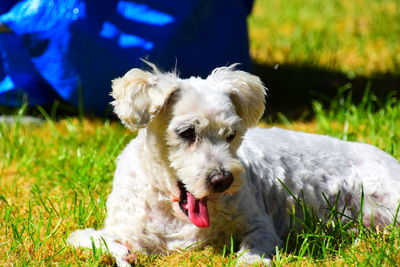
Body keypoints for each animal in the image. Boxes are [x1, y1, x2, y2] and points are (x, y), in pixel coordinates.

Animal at [67, 63, 400, 266]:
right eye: (186, 133)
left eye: (232, 135)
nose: (222, 180)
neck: (176, 215)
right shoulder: (124, 229)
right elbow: (84, 238)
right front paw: (122, 254)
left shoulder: (259, 225)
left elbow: (254, 248)